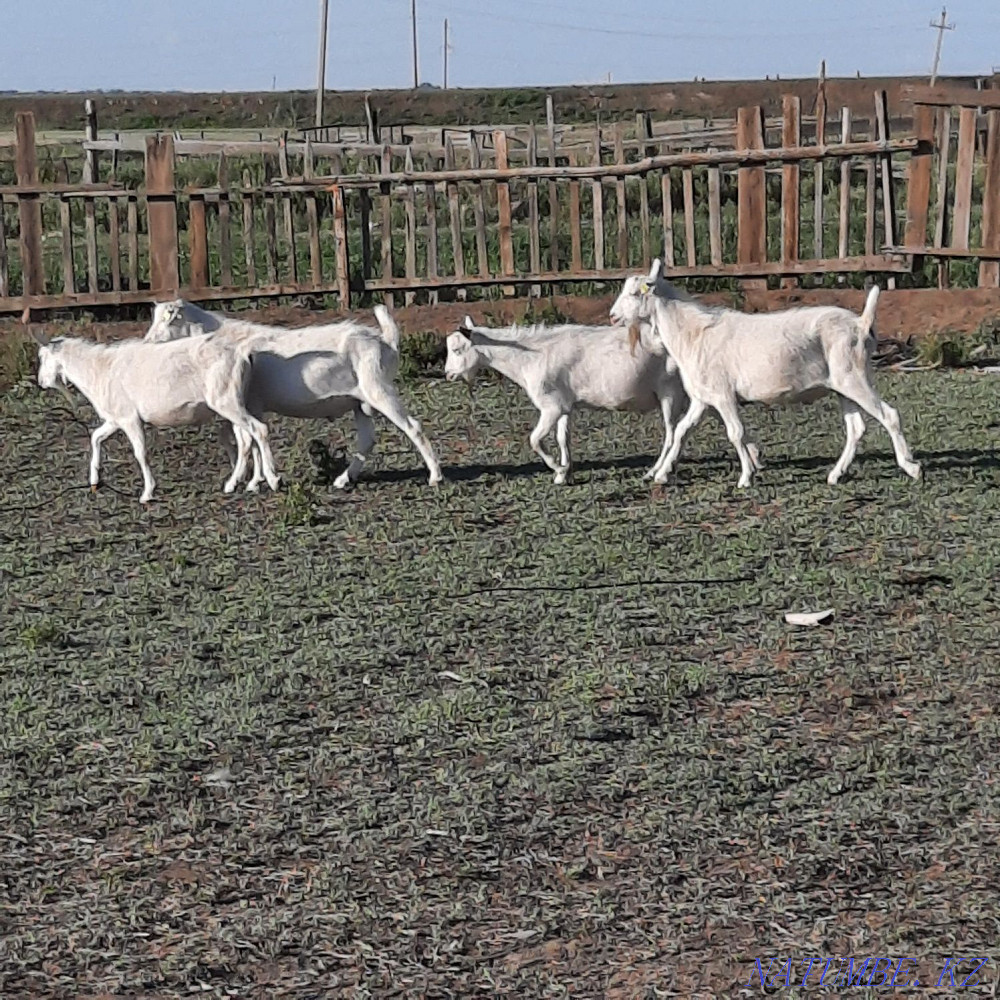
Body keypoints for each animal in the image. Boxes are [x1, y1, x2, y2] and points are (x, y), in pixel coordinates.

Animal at [35, 334, 281, 504]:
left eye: (42, 357)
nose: (41, 382)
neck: (99, 370)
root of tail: (242, 354)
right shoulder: (115, 419)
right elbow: (96, 437)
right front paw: (95, 480)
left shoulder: (129, 418)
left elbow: (140, 453)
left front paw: (147, 493)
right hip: (236, 402)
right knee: (247, 438)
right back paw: (246, 483)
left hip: (226, 401)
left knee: (258, 430)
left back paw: (271, 479)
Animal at [144, 300, 442, 490]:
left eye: (167, 320)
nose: (147, 342)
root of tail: (385, 340)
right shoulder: (253, 405)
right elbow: (252, 441)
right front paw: (256, 481)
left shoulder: (246, 403)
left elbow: (248, 439)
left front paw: (254, 481)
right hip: (361, 403)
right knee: (367, 440)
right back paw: (343, 480)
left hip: (379, 390)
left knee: (412, 427)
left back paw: (435, 476)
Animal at [444, 315, 692, 484]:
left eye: (457, 350)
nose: (447, 374)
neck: (530, 357)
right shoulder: (564, 406)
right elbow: (563, 438)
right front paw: (565, 473)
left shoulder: (551, 407)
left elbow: (534, 440)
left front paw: (559, 470)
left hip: (670, 392)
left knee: (671, 434)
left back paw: (655, 472)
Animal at [609, 260, 920, 488]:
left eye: (635, 293)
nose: (612, 316)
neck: (694, 334)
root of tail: (861, 324)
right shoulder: (702, 398)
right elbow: (683, 431)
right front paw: (661, 473)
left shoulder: (722, 395)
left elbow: (735, 432)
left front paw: (746, 477)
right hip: (842, 386)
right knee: (856, 428)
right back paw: (835, 475)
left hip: (854, 376)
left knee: (889, 415)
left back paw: (910, 466)